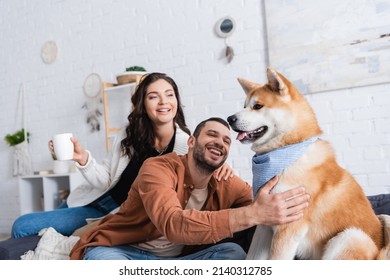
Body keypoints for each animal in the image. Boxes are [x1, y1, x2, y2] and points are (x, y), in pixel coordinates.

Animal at [227, 68, 388, 260]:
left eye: (258, 106)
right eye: (245, 106)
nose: (229, 119)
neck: (286, 154)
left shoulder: (288, 227)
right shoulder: (265, 221)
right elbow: (252, 257)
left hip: (350, 236)